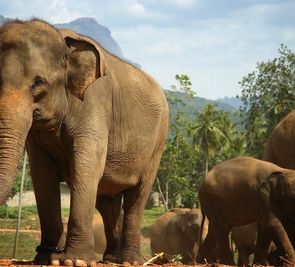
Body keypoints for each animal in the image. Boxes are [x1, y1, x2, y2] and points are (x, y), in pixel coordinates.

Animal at [0, 19, 169, 266]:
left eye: (38, 83)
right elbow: (42, 175)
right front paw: (47, 258)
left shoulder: (94, 103)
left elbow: (87, 167)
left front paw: (75, 261)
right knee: (107, 202)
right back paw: (110, 258)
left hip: (158, 140)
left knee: (137, 195)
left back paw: (129, 260)